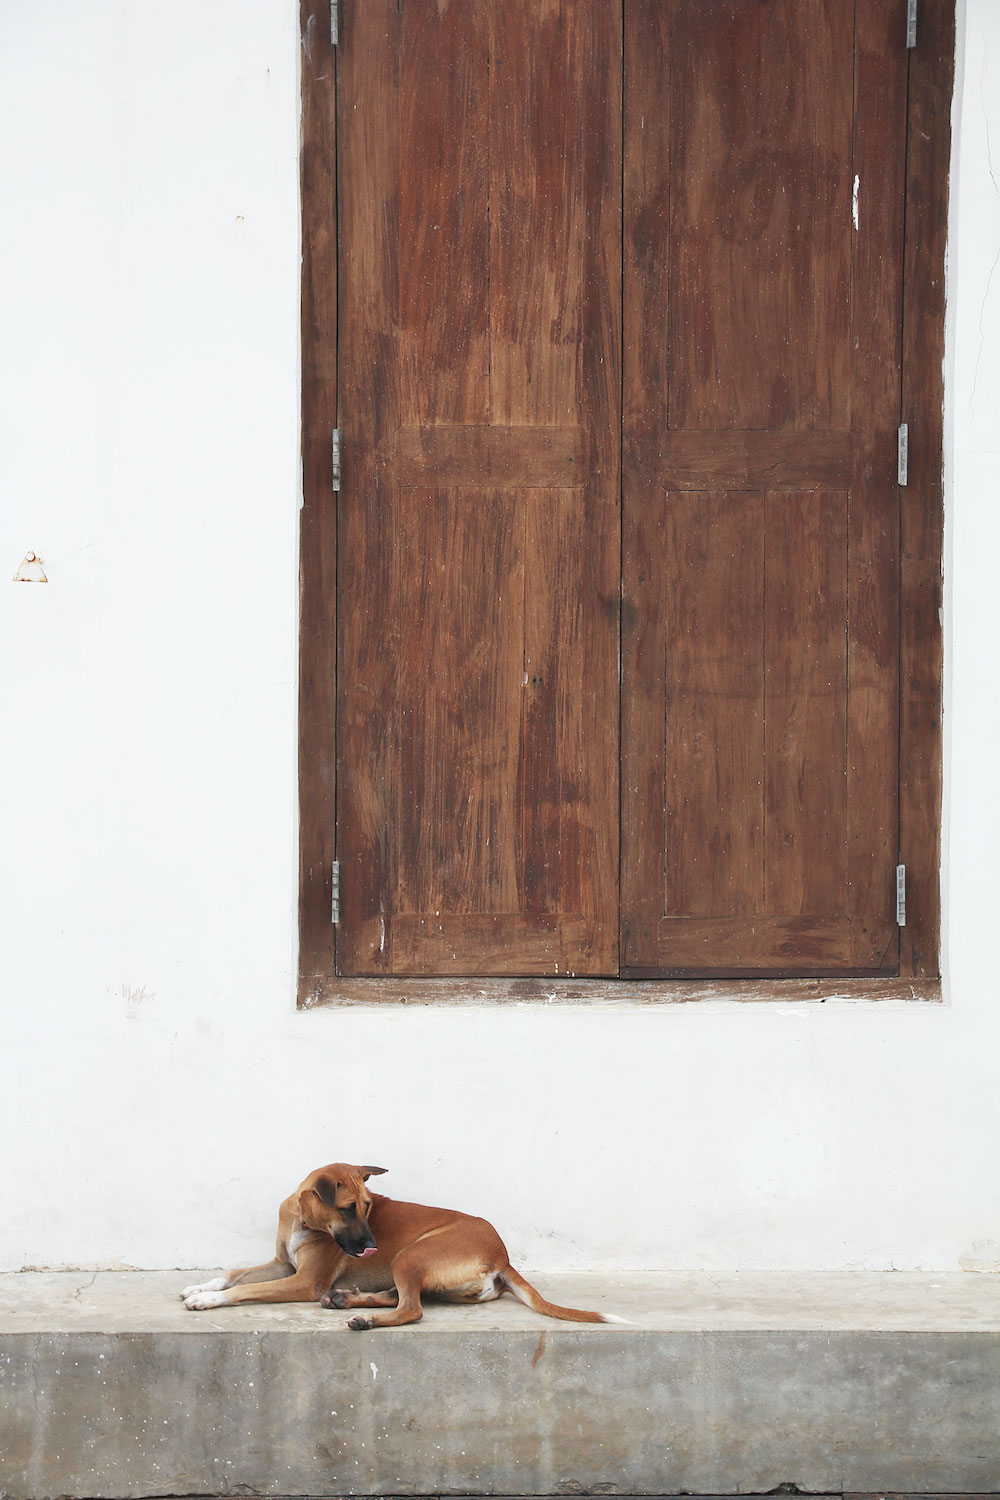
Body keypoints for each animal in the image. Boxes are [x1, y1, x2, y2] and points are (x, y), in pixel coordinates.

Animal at [179, 1164, 617, 1332]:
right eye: (348, 1208)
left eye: (369, 1207)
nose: (373, 1246)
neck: (304, 1221)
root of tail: (503, 1257)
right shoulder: (282, 1265)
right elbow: (234, 1275)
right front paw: (200, 1288)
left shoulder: (303, 1282)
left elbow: (246, 1288)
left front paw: (206, 1301)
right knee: (402, 1298)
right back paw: (349, 1301)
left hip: (411, 1255)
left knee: (412, 1310)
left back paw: (365, 1318)